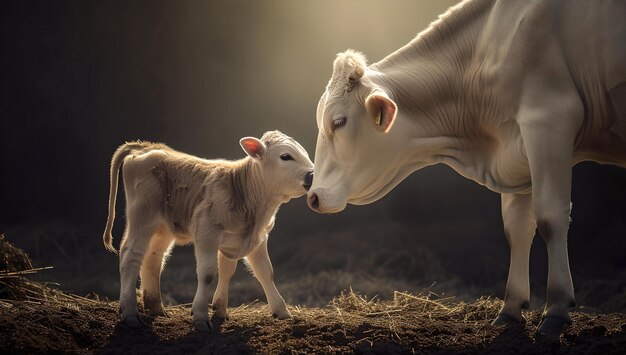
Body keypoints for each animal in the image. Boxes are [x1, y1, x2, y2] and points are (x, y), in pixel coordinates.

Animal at [104, 131, 314, 334]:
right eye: (286, 156)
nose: (313, 175)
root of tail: (146, 146)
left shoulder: (253, 239)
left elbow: (261, 272)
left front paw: (280, 311)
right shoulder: (207, 231)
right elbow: (208, 273)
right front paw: (200, 316)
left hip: (162, 229)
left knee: (153, 259)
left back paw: (156, 308)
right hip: (142, 216)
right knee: (131, 255)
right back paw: (130, 313)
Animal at [308, 0, 624, 338]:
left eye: (338, 122)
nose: (313, 196)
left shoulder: (548, 121)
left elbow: (551, 217)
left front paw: (556, 310)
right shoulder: (519, 151)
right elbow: (517, 228)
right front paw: (510, 309)